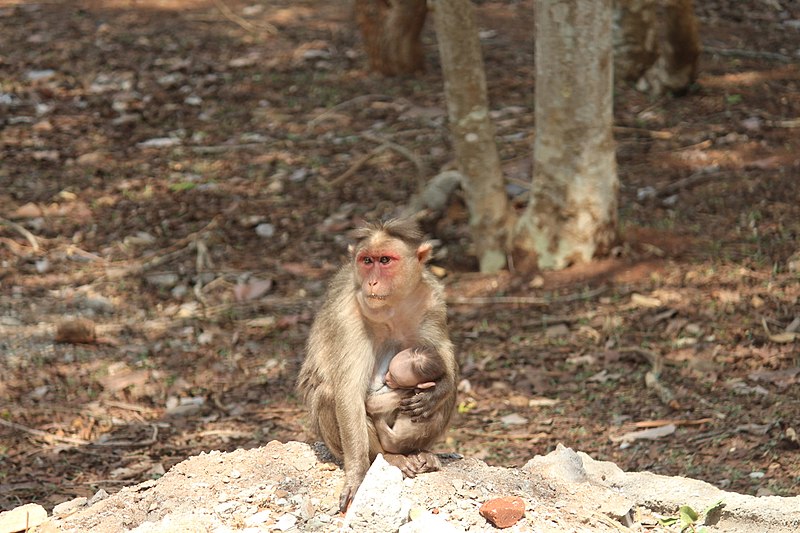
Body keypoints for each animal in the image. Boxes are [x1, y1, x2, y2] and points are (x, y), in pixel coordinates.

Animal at [296, 218, 460, 510]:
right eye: (366, 260)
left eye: (385, 260)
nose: (372, 281)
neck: (392, 307)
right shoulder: (347, 314)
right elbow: (348, 395)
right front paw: (357, 474)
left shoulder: (432, 298)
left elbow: (442, 353)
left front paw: (437, 390)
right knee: (328, 393)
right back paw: (388, 457)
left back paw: (419, 450)